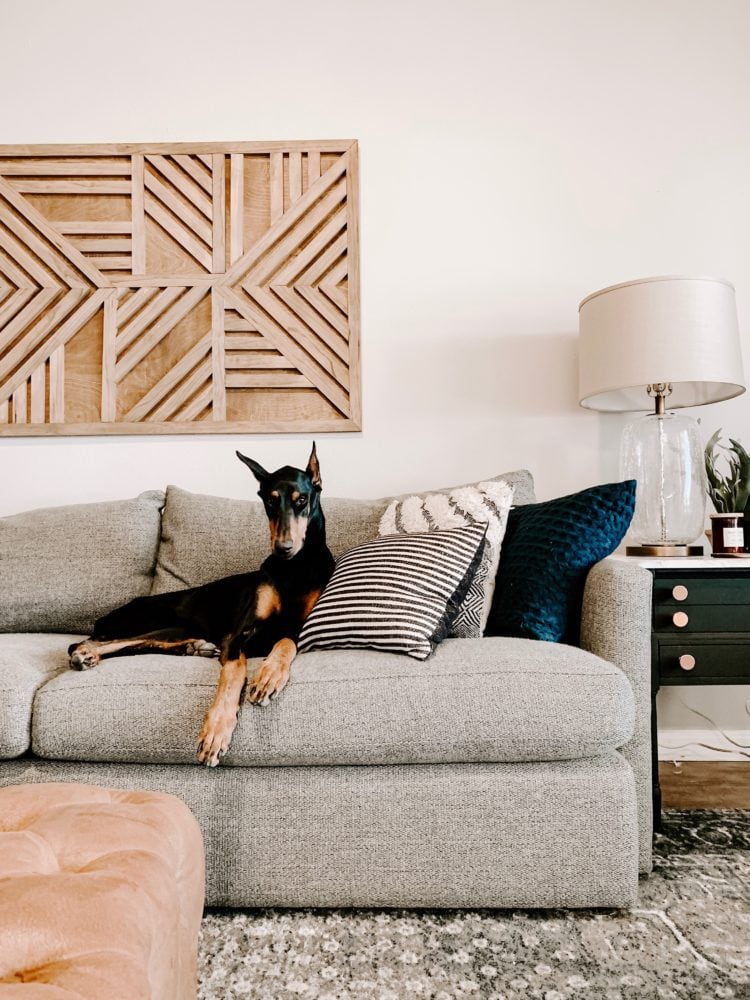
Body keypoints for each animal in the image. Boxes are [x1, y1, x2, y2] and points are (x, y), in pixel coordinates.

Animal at [66, 446, 336, 764]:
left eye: (302, 500)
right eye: (270, 501)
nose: (283, 549)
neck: (293, 570)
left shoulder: (297, 628)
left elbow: (285, 642)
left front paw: (269, 675)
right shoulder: (237, 635)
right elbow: (234, 673)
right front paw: (217, 730)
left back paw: (194, 647)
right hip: (163, 621)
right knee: (101, 642)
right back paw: (85, 654)